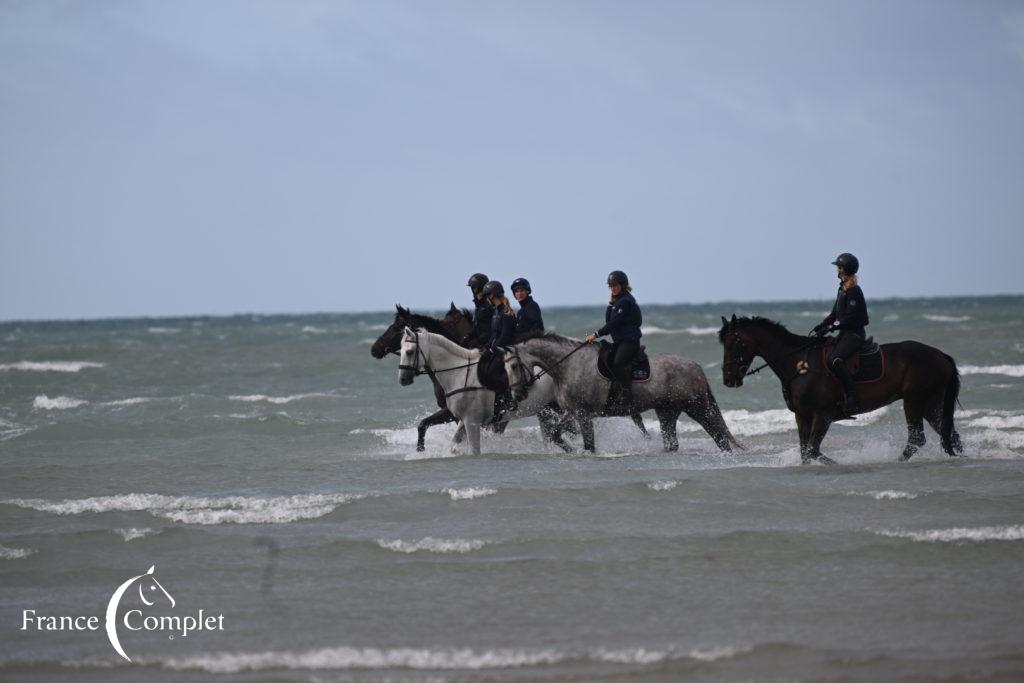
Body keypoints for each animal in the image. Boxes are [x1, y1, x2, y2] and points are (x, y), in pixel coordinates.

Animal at [501, 331, 737, 454]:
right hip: (667, 412)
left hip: (697, 407)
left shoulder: (583, 414)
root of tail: (695, 366)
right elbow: (555, 434)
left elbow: (588, 444)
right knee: (673, 443)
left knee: (719, 435)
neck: (568, 365)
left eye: (513, 366)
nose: (518, 395)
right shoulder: (571, 412)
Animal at [716, 317, 962, 464]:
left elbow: (812, 450)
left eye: (735, 343)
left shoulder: (822, 415)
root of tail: (941, 356)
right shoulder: (802, 416)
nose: (728, 379)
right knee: (949, 435)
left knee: (917, 439)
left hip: (913, 401)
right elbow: (805, 451)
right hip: (930, 403)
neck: (799, 364)